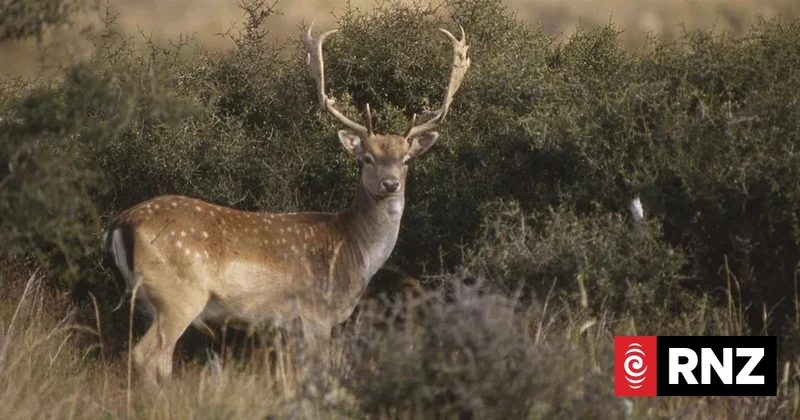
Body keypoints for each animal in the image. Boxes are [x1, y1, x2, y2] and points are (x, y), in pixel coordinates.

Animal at [102, 21, 471, 387]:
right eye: (366, 158)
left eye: (406, 160)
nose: (390, 184)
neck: (353, 252)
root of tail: (121, 223)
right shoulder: (315, 314)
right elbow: (318, 372)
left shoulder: (292, 325)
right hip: (179, 295)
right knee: (146, 356)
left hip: (149, 300)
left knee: (158, 359)